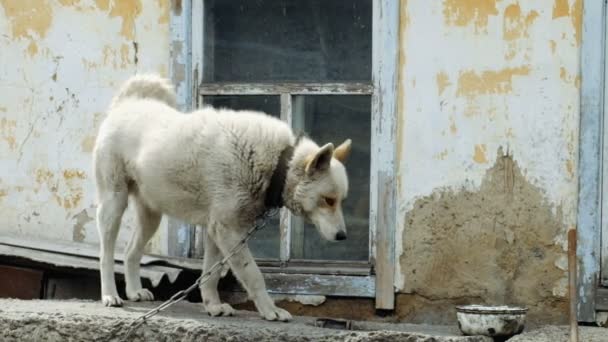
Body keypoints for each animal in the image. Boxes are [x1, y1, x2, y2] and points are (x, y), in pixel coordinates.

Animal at [94, 74, 352, 320]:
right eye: (328, 200)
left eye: (340, 200)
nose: (343, 236)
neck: (278, 164)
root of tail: (127, 103)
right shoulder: (228, 230)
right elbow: (253, 274)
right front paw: (271, 311)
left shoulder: (215, 231)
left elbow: (211, 274)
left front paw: (213, 307)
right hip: (114, 204)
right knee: (106, 255)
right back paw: (110, 296)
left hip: (151, 215)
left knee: (130, 253)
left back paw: (134, 291)